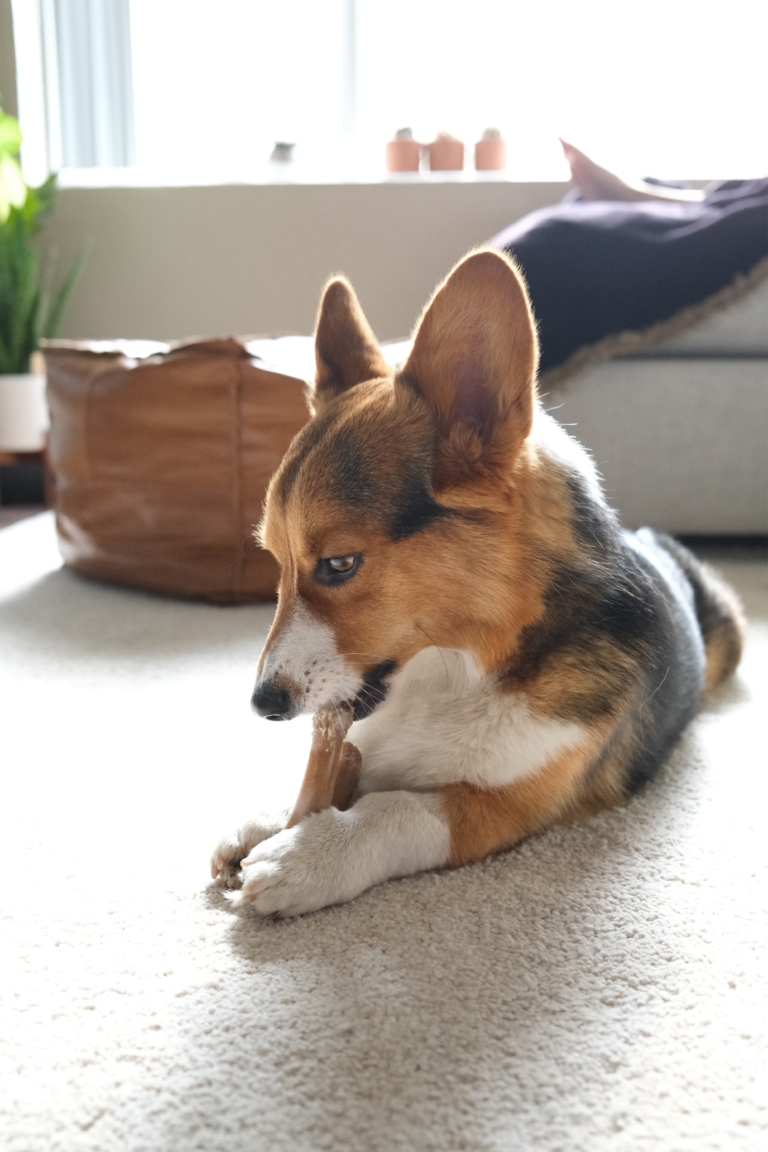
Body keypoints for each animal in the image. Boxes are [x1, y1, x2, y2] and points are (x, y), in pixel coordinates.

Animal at [210, 247, 746, 912]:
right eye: (276, 562)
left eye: (339, 564)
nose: (263, 705)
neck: (454, 670)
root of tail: (657, 540)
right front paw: (271, 818)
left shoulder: (499, 808)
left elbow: (393, 812)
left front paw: (303, 856)